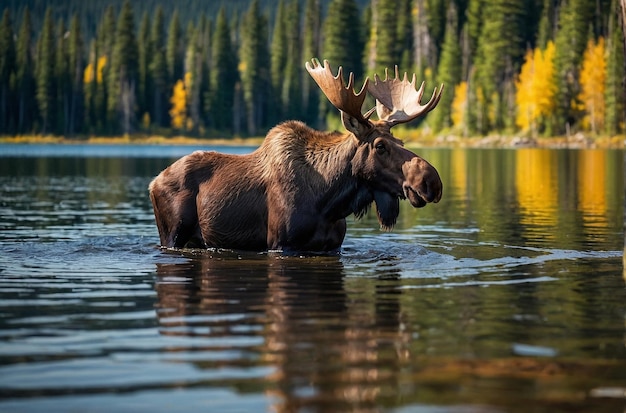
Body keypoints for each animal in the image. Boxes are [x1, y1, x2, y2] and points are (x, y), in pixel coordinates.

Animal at [150, 58, 444, 251]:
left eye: (401, 140)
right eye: (380, 145)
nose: (432, 182)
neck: (330, 202)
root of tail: (153, 182)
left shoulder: (332, 247)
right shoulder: (281, 245)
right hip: (172, 234)